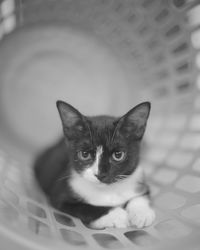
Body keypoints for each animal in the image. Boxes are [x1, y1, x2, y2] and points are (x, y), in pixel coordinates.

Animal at [34, 101, 155, 229]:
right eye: (85, 154)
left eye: (118, 155)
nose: (100, 174)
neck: (108, 190)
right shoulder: (59, 196)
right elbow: (86, 208)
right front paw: (117, 215)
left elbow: (142, 194)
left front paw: (142, 213)